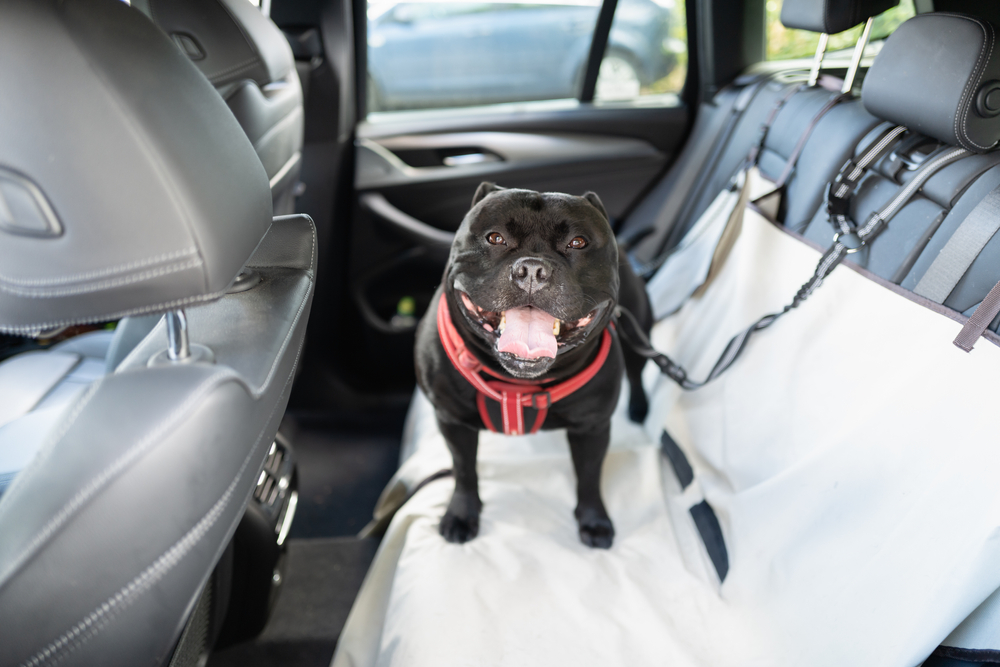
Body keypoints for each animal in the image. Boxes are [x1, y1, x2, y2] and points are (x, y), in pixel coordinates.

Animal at [416, 183, 656, 548]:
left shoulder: (592, 427)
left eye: (578, 242)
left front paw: (594, 521)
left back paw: (640, 409)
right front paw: (461, 513)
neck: (518, 384)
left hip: (637, 333)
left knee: (637, 372)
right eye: (495, 238)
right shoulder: (452, 420)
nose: (532, 270)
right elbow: (464, 469)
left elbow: (589, 476)